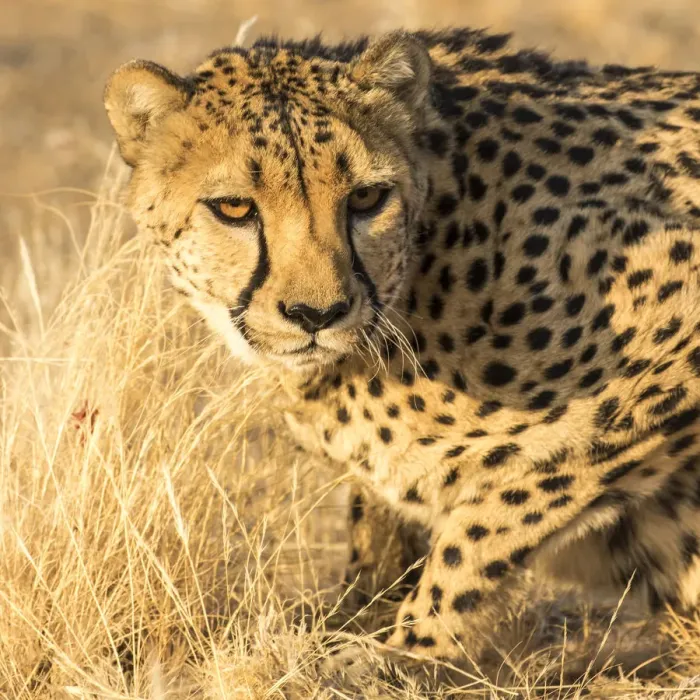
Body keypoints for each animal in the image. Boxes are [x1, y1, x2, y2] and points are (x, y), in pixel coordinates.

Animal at [104, 27, 700, 667]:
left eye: (367, 198)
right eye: (234, 207)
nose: (317, 314)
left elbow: (494, 514)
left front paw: (403, 651)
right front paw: (347, 620)